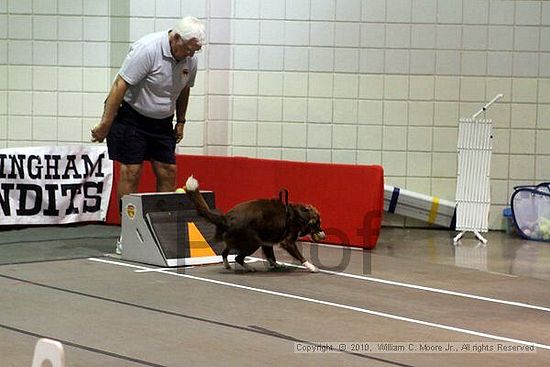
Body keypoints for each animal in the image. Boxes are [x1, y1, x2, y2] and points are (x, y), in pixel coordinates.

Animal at [187, 175, 324, 274]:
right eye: (318, 223)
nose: (323, 234)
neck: (300, 215)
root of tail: (226, 218)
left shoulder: (267, 241)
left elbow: (271, 256)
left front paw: (276, 265)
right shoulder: (287, 241)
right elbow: (300, 256)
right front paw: (312, 267)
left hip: (239, 241)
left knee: (225, 252)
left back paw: (227, 265)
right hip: (252, 242)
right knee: (238, 258)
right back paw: (249, 268)